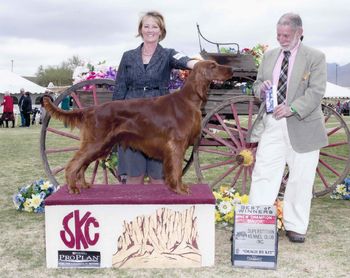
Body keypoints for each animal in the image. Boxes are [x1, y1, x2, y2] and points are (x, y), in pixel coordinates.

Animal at [44, 61, 232, 193]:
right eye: (213, 65)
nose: (231, 69)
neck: (189, 100)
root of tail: (91, 109)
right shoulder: (176, 144)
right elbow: (177, 169)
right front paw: (179, 189)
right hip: (96, 143)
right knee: (73, 164)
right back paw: (73, 188)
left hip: (101, 146)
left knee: (82, 165)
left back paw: (83, 185)